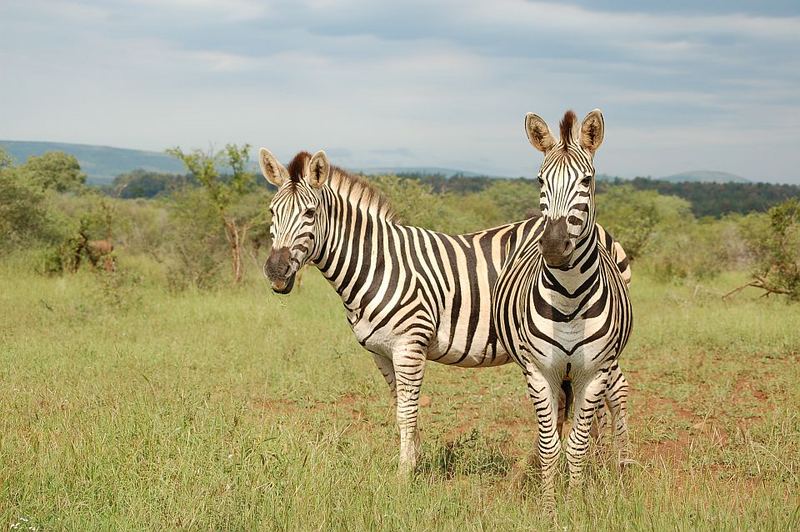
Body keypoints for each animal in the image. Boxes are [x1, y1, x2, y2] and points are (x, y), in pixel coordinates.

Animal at [260, 148, 628, 476]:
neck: (376, 265)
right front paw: (414, 461)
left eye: (309, 213)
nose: (276, 271)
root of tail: (602, 231)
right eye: (272, 212)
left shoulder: (409, 345)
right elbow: (400, 408)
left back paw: (616, 467)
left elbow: (407, 412)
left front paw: (405, 475)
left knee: (617, 391)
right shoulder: (381, 352)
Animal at [490, 109, 636, 512]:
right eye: (541, 180)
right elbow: (550, 447)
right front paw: (548, 508)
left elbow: (576, 446)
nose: (554, 247)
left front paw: (572, 503)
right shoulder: (540, 371)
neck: (569, 299)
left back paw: (620, 466)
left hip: (609, 364)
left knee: (617, 395)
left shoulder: (594, 371)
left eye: (587, 180)